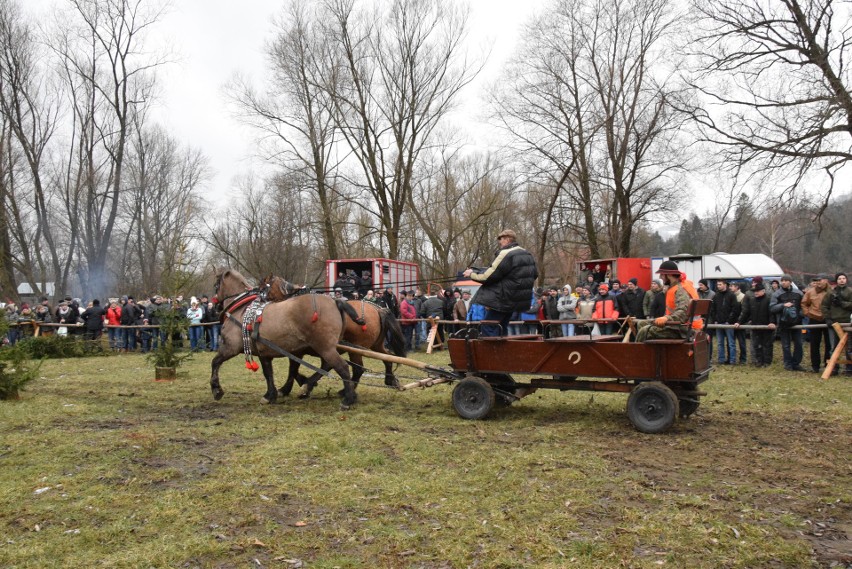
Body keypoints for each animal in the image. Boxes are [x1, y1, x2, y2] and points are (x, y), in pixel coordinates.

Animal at [215, 268, 362, 408]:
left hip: (325, 347)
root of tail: (335, 301)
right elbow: (270, 372)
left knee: (342, 367)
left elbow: (215, 362)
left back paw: (347, 399)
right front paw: (271, 395)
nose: (216, 306)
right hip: (326, 347)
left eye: (216, 285)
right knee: (333, 366)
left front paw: (216, 389)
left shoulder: (231, 347)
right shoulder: (266, 351)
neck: (241, 310)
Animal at [260, 274, 406, 398]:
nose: (262, 303)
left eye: (263, 289)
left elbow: (294, 369)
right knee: (387, 357)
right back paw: (390, 380)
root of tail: (378, 309)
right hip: (375, 345)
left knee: (359, 368)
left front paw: (291, 388)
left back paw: (346, 391)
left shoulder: (301, 350)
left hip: (356, 349)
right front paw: (304, 384)